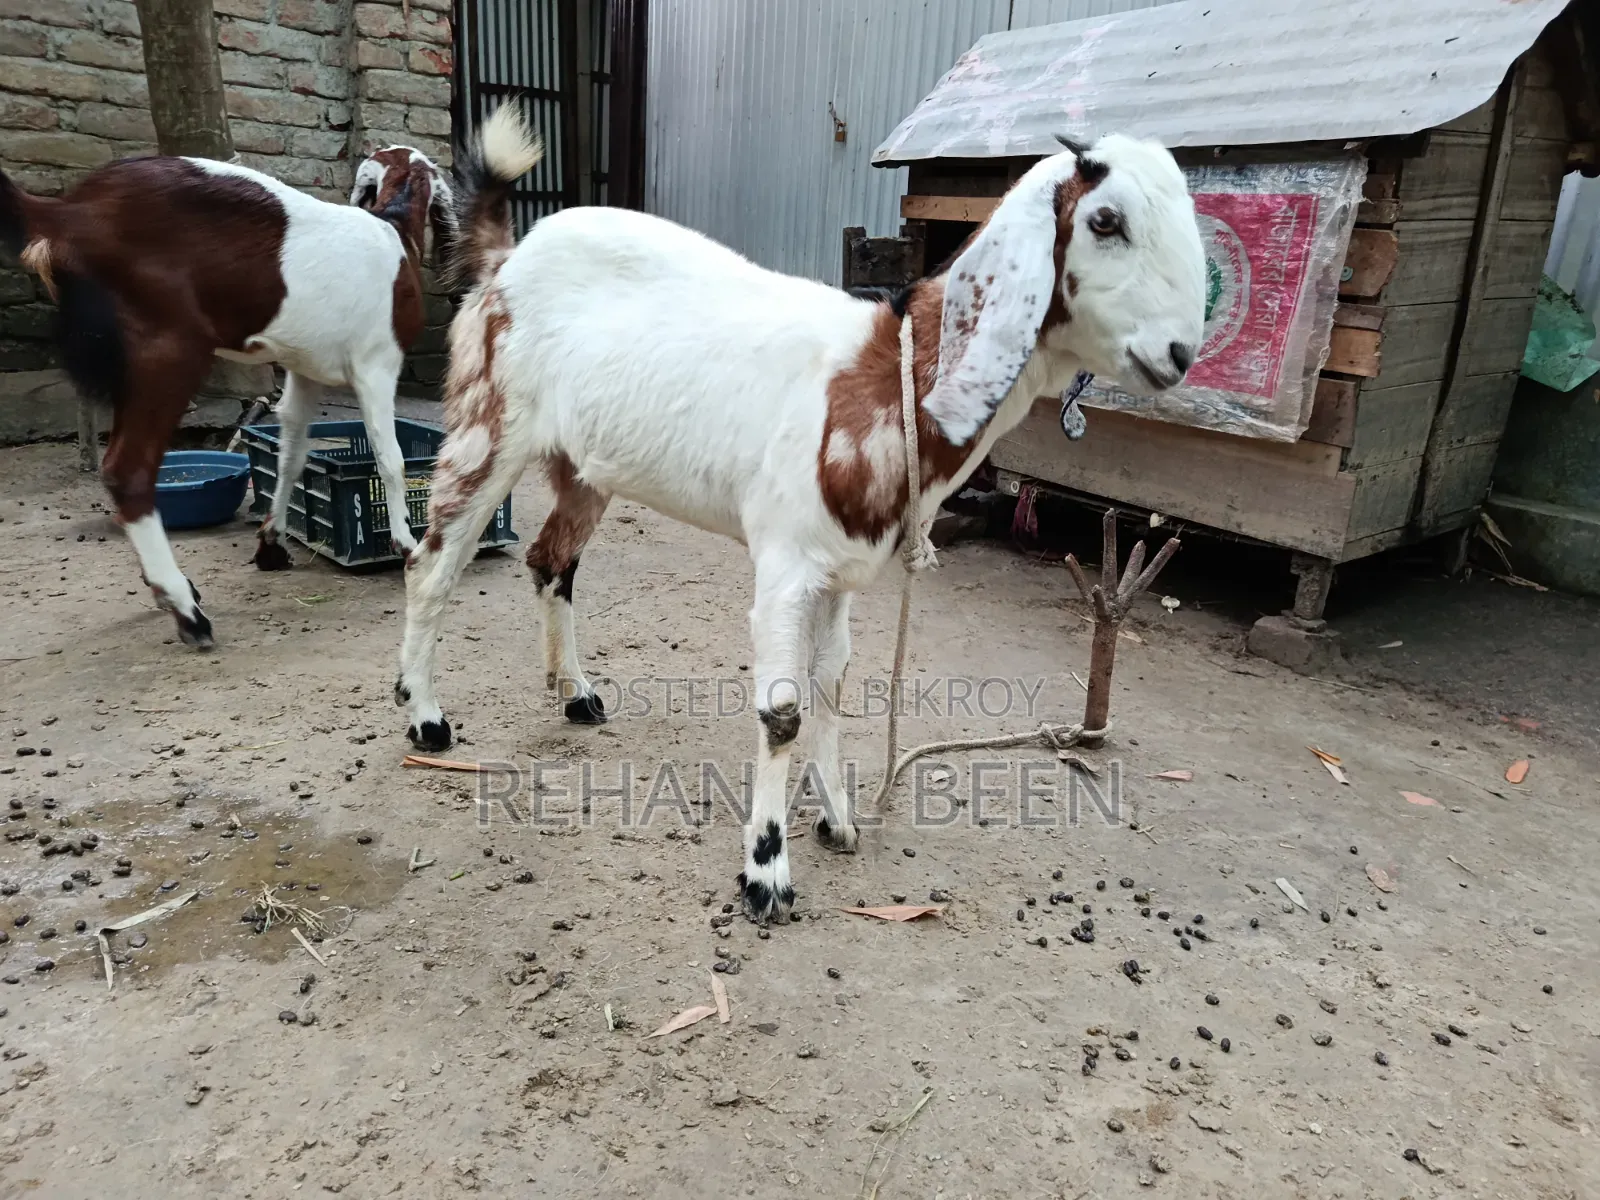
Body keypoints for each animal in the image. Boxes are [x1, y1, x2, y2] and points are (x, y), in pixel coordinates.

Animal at [0, 143, 466, 647]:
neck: (394, 230)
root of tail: (71, 212)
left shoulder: (304, 370)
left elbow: (291, 454)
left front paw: (271, 543)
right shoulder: (377, 364)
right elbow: (390, 458)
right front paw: (406, 544)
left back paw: (175, 590)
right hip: (166, 347)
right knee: (127, 470)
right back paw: (185, 610)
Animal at [395, 105, 1207, 924]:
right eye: (1106, 220)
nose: (1179, 354)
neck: (887, 378)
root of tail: (504, 261)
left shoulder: (839, 573)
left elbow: (833, 686)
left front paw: (838, 819)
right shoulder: (785, 566)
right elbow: (782, 712)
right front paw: (765, 872)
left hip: (585, 464)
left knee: (551, 561)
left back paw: (577, 695)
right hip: (488, 424)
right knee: (432, 563)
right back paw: (426, 716)